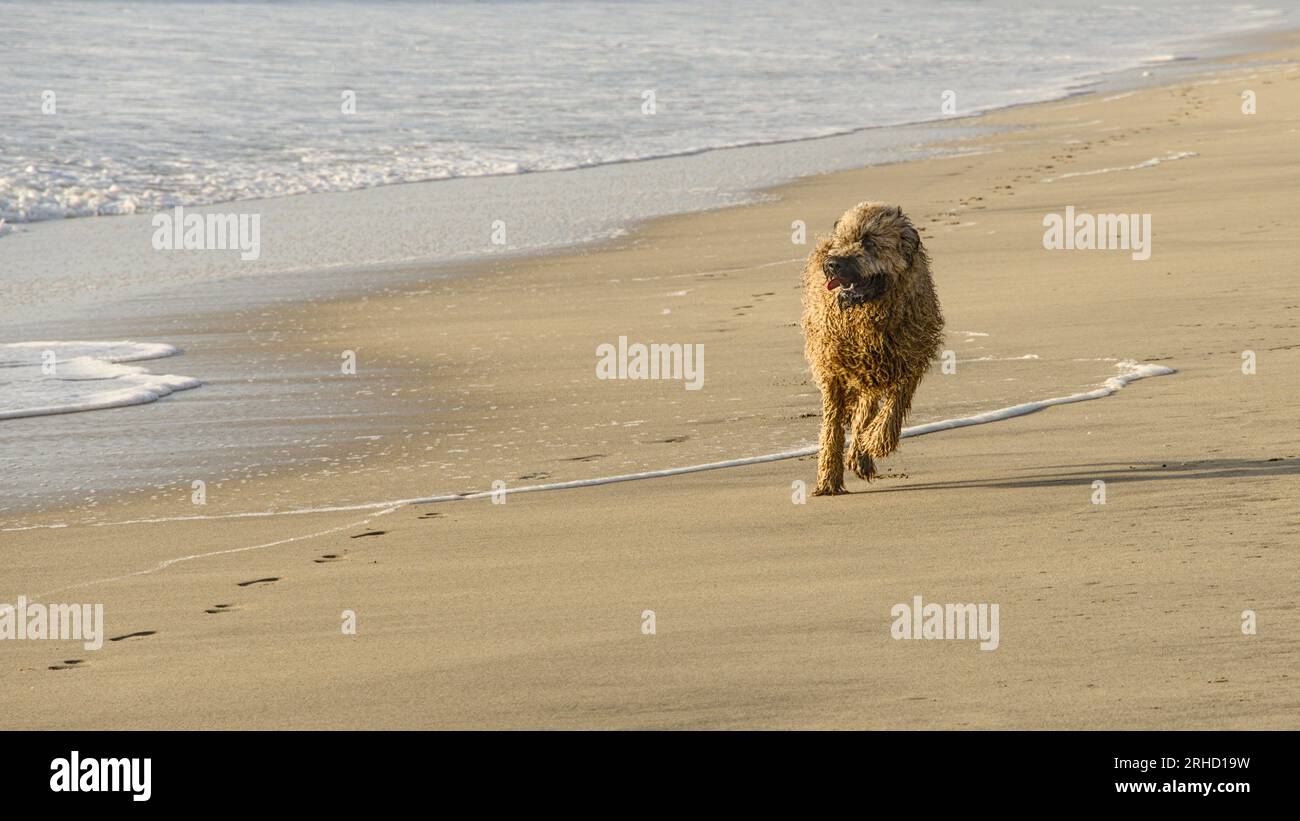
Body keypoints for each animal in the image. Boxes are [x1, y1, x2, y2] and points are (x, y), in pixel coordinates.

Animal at [795, 200, 941, 493]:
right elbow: (832, 424)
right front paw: (828, 476)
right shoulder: (833, 368)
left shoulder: (909, 362)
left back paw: (861, 452)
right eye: (844, 240)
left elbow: (894, 408)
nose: (832, 264)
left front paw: (875, 442)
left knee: (867, 408)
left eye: (870, 242)